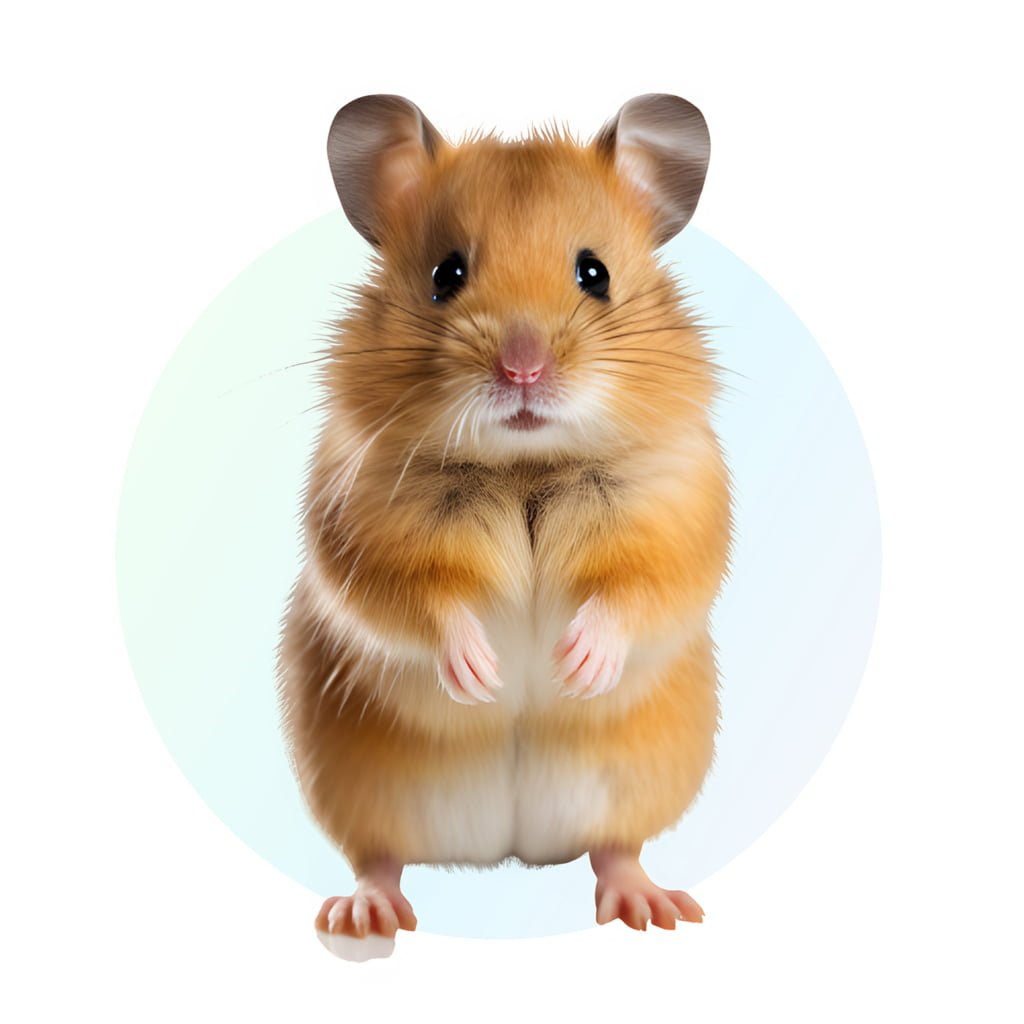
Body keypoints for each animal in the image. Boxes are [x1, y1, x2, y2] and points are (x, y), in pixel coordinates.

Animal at [277, 93, 731, 943]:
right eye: (445, 275)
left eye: (595, 273)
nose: (523, 369)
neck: (524, 468)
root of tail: (508, 853)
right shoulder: (359, 528)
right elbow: (425, 599)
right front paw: (482, 675)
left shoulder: (675, 517)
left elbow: (636, 590)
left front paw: (575, 665)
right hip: (360, 789)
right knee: (377, 856)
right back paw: (366, 916)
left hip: (635, 781)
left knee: (615, 849)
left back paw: (654, 908)